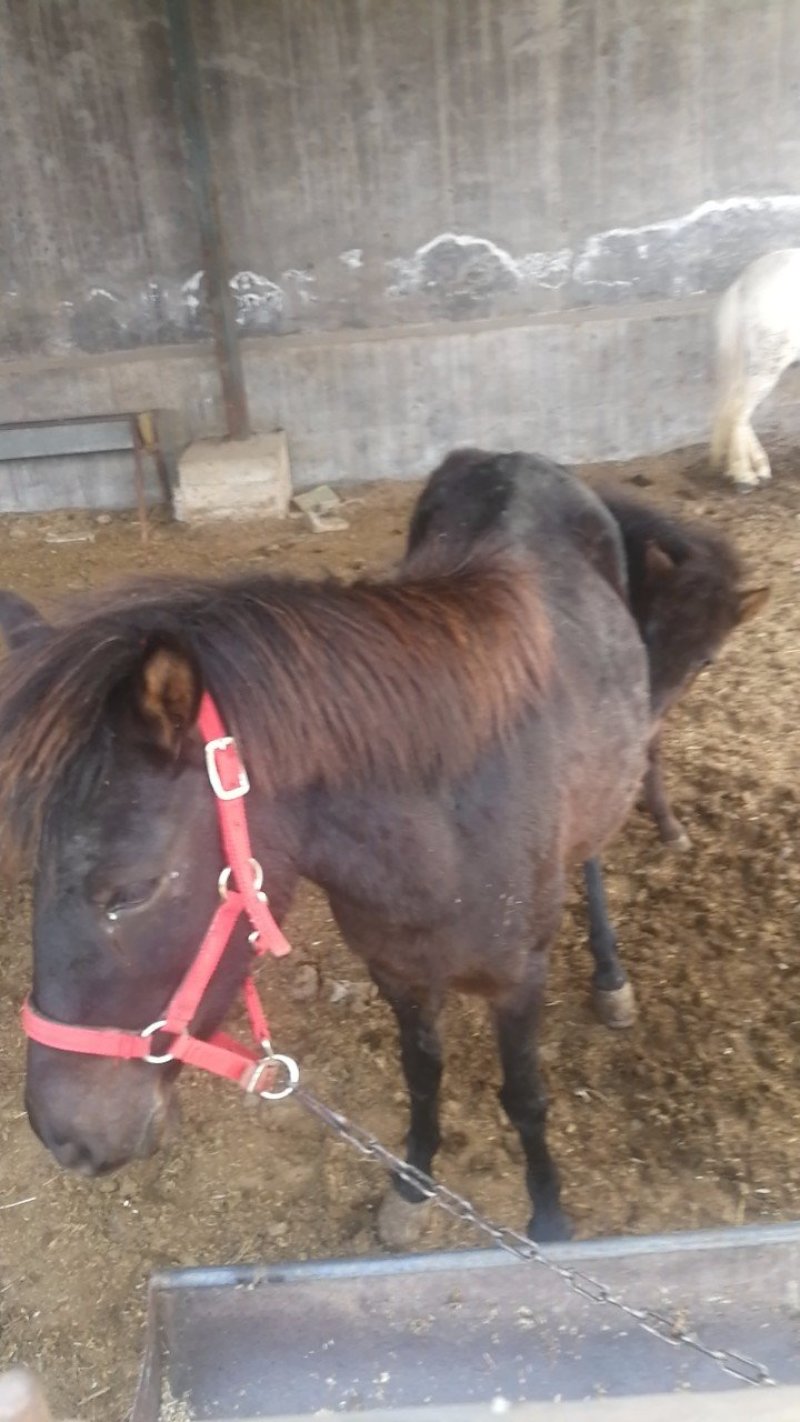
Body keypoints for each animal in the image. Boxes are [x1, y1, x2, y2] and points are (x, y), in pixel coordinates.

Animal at [0, 451, 651, 1247]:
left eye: (131, 891)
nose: (63, 1136)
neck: (448, 833)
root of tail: (513, 461)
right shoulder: (396, 972)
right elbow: (421, 1076)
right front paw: (412, 1187)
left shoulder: (519, 980)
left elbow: (525, 1096)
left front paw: (549, 1217)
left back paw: (611, 976)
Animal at [710, 248, 800, 489]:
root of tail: (743, 284)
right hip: (768, 359)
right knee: (739, 408)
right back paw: (744, 476)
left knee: (734, 404)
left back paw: (755, 467)